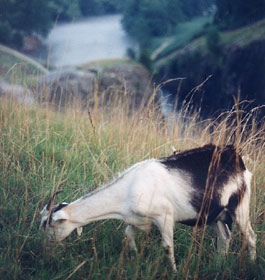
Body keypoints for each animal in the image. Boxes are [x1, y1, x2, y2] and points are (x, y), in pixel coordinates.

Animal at [39, 144, 256, 272]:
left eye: (48, 224)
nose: (46, 248)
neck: (128, 188)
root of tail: (237, 157)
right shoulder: (137, 219)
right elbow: (128, 234)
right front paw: (134, 257)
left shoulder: (164, 216)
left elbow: (167, 247)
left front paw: (174, 272)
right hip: (215, 215)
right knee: (224, 237)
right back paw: (218, 265)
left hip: (240, 206)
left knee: (250, 237)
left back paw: (251, 264)